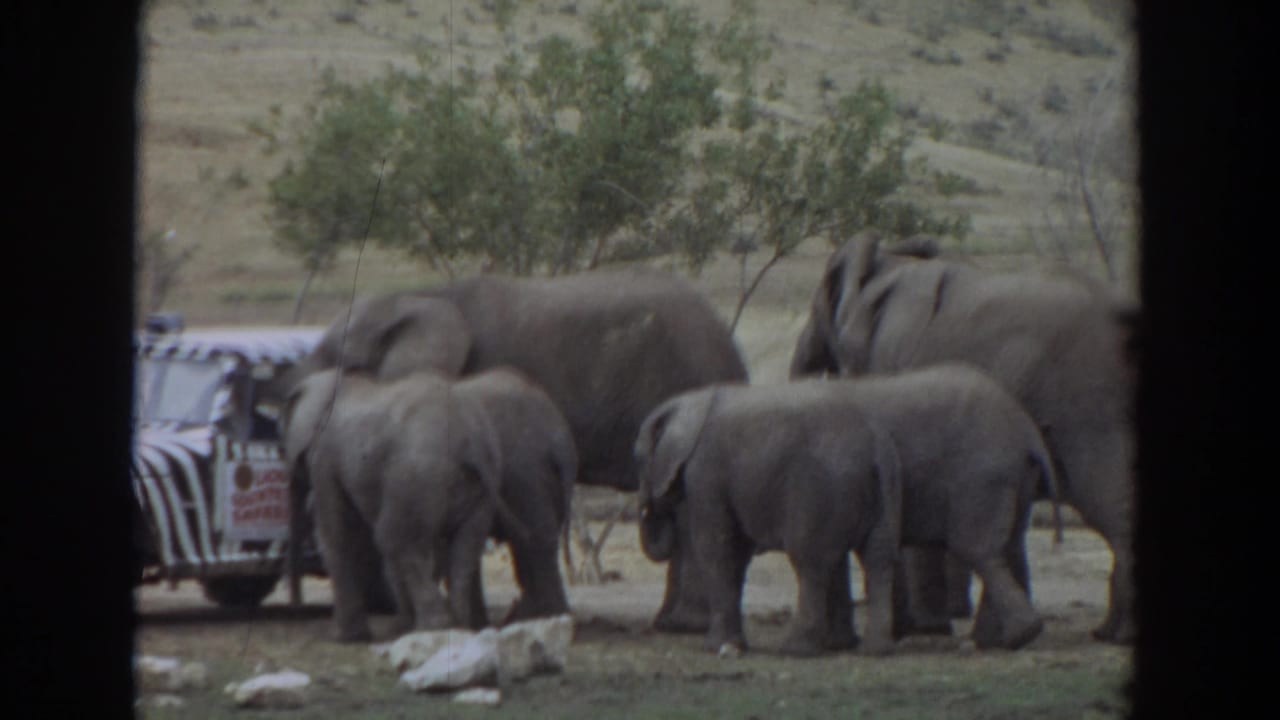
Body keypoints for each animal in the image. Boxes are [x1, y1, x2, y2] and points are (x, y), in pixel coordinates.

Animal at [637, 365, 1058, 655]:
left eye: (637, 455)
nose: (649, 512)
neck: (694, 401)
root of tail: (1027, 431)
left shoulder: (707, 472)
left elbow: (722, 548)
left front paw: (717, 647)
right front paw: (838, 644)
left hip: (981, 477)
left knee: (978, 549)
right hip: (1004, 479)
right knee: (1004, 548)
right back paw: (1002, 639)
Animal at [790, 232, 1136, 644]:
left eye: (816, 308)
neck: (890, 260)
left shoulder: (890, 357)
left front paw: (922, 629)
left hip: (1088, 405)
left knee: (1106, 499)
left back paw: (1118, 634)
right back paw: (1103, 632)